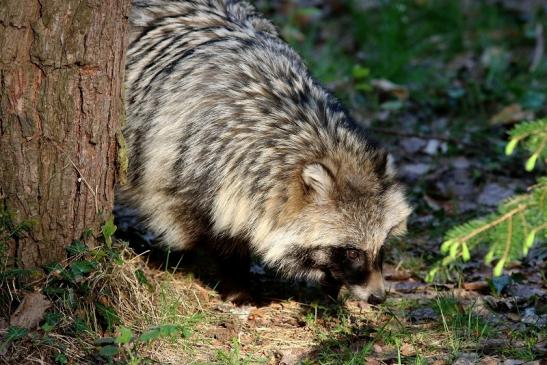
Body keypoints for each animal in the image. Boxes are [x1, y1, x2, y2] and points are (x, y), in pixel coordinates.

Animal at [121, 0, 412, 302]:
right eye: (352, 252)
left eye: (382, 244)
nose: (378, 297)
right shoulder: (187, 166)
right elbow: (205, 229)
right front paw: (234, 280)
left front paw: (331, 284)